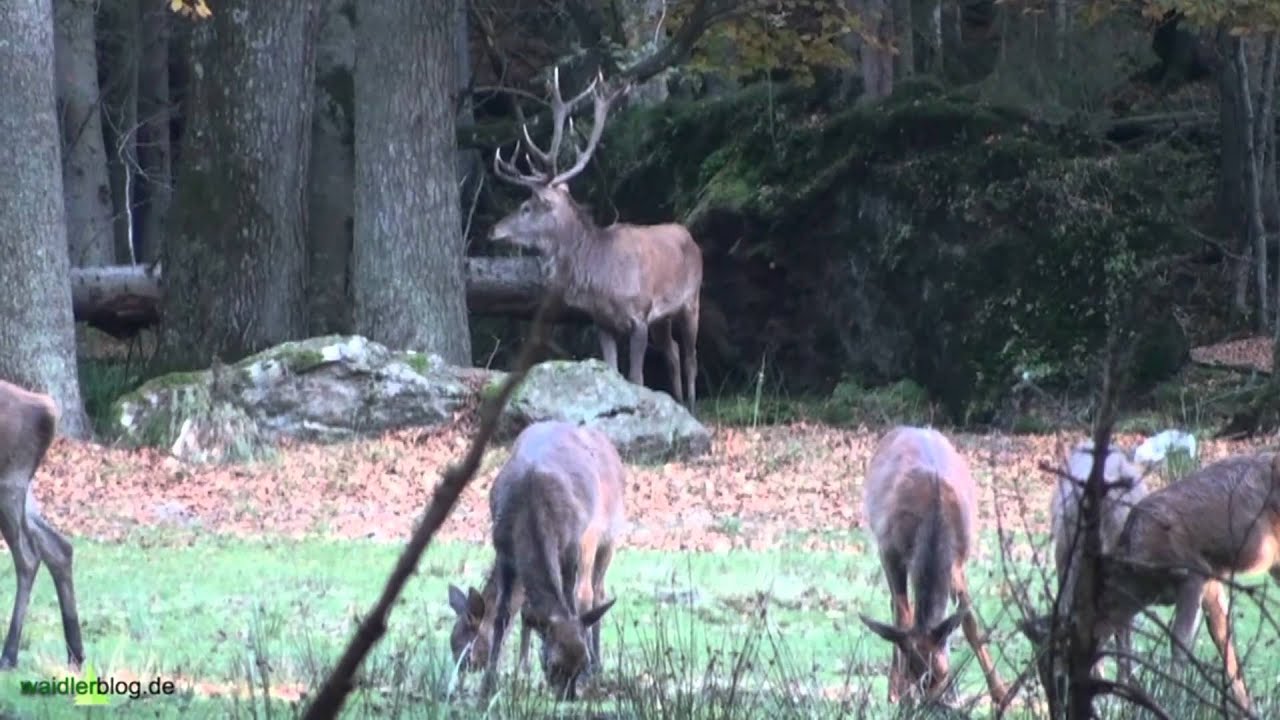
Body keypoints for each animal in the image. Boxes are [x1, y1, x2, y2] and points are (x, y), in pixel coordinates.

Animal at [0, 379, 84, 670]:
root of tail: (46, 409)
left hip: (9, 483)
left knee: (28, 557)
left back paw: (9, 654)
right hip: (22, 486)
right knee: (58, 546)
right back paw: (75, 654)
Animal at [478, 420, 626, 701]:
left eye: (581, 662)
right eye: (553, 664)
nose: (569, 696)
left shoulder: (570, 548)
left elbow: (571, 603)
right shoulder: (503, 550)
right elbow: (504, 614)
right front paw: (490, 683)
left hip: (608, 538)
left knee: (597, 591)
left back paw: (600, 664)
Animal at [490, 67, 704, 412]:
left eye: (526, 207)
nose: (493, 230)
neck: (601, 275)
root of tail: (689, 236)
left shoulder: (640, 316)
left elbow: (636, 378)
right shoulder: (601, 322)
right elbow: (612, 371)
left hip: (692, 299)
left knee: (690, 355)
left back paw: (693, 404)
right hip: (664, 317)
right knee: (671, 351)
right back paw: (680, 401)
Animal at [859, 426, 1008, 707]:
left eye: (942, 673)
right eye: (910, 671)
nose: (927, 707)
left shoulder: (958, 560)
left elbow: (969, 621)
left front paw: (1001, 693)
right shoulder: (889, 551)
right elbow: (902, 618)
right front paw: (900, 693)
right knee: (898, 608)